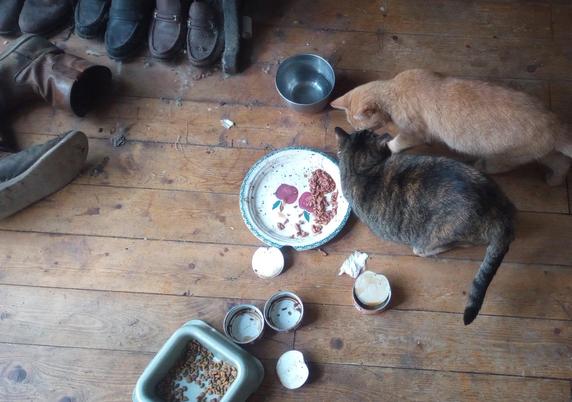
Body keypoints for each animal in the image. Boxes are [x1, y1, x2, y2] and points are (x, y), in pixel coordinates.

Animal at [330, 70, 572, 186]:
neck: (394, 89)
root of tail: (556, 123)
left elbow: (396, 144)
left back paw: (480, 165)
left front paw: (387, 147)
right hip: (542, 154)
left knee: (498, 166)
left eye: (363, 127)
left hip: (505, 157)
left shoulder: (412, 133)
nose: (360, 132)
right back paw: (554, 181)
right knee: (562, 163)